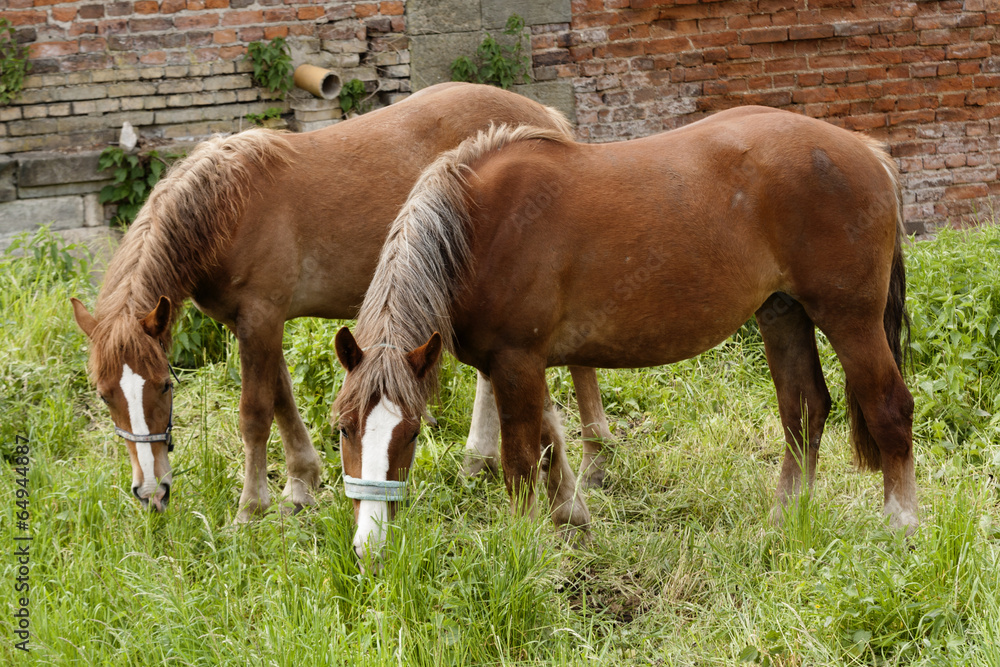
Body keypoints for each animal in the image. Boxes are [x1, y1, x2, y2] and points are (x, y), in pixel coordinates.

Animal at [70, 82, 613, 521]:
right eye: (104, 394)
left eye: (165, 386)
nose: (151, 492)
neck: (228, 208)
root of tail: (543, 115)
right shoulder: (256, 323)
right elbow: (282, 396)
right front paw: (301, 485)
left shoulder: (261, 317)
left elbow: (255, 412)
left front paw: (250, 508)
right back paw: (476, 462)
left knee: (578, 362)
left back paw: (595, 461)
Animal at [334, 105, 915, 560]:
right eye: (342, 429)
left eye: (411, 433)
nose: (369, 547)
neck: (479, 227)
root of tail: (870, 154)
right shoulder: (521, 363)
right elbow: (551, 440)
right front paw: (573, 519)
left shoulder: (518, 360)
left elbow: (521, 460)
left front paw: (522, 549)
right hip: (783, 312)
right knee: (804, 409)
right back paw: (785, 519)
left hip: (851, 319)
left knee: (889, 408)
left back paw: (902, 526)